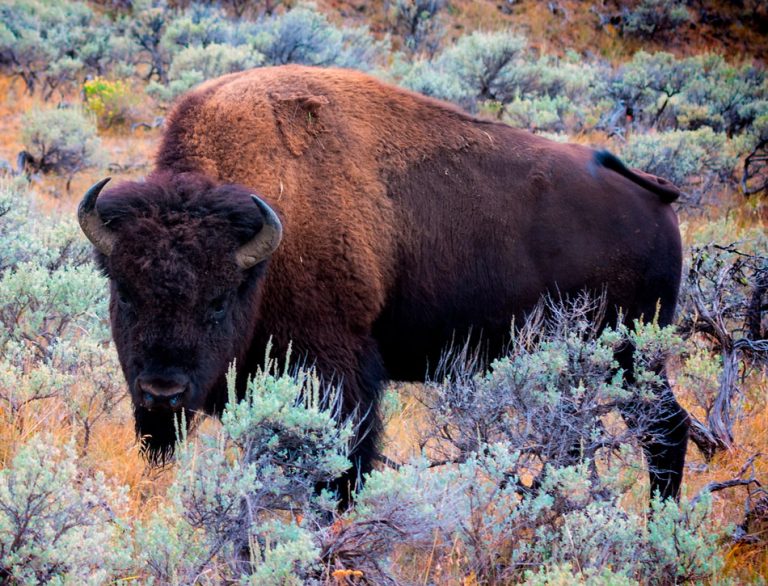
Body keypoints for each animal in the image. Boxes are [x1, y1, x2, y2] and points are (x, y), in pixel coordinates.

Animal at [78, 65, 688, 502]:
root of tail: (652, 195)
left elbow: (345, 464)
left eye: (218, 302)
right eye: (125, 293)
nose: (162, 393)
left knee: (666, 429)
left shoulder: (338, 371)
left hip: (626, 354)